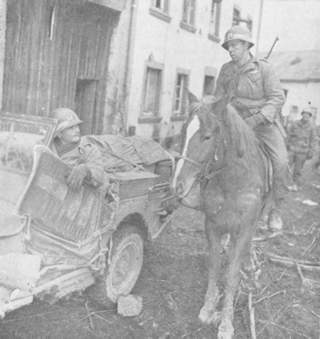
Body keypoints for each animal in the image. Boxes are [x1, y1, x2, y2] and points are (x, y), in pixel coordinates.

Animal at [172, 94, 270, 338]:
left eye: (207, 136)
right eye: (183, 132)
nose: (177, 186)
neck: (233, 183)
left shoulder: (243, 231)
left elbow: (232, 276)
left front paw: (226, 324)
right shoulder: (213, 226)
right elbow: (215, 268)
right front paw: (208, 309)